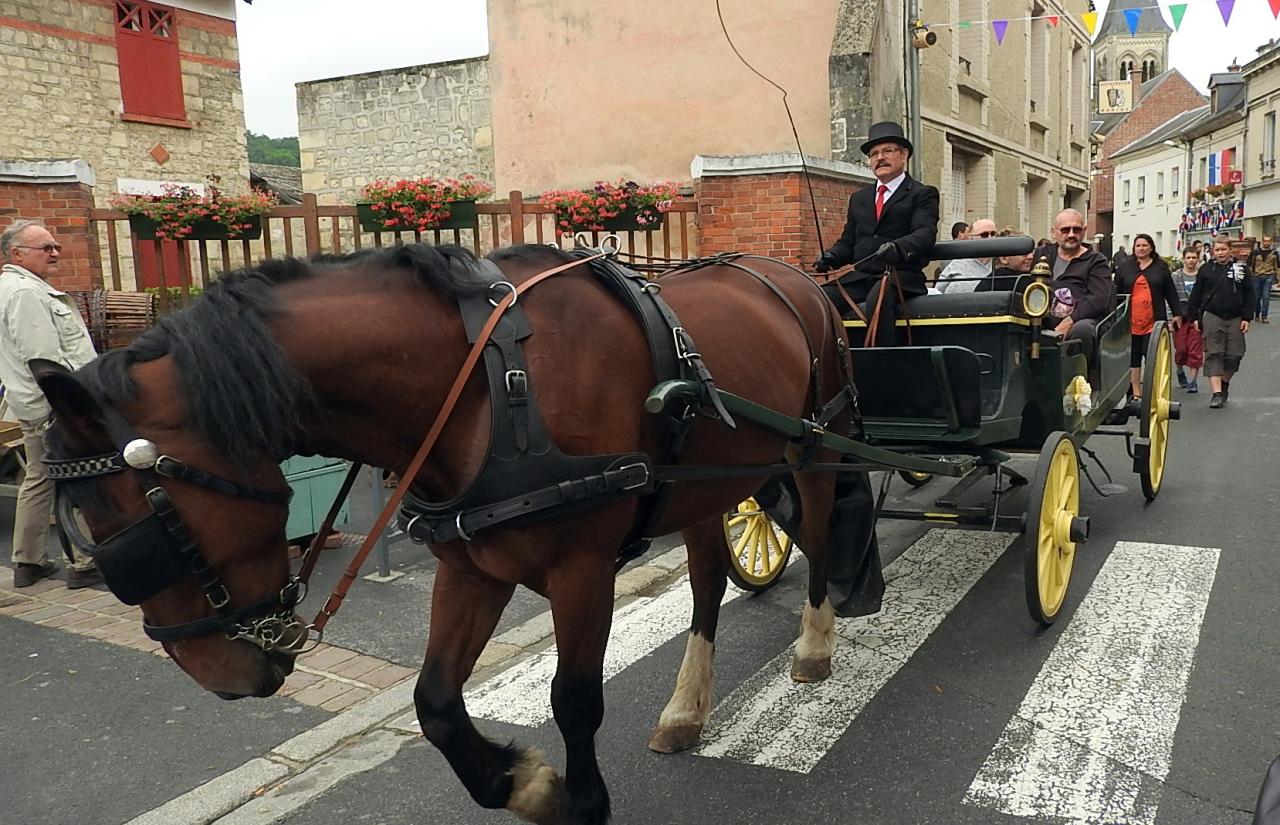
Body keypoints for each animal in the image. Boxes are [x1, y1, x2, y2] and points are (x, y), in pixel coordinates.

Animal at [40, 241, 860, 818]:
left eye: (138, 522)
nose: (222, 679)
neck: (486, 387)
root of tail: (789, 273)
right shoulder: (472, 565)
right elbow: (434, 700)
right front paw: (523, 784)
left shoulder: (583, 568)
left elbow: (574, 698)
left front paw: (580, 800)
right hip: (706, 486)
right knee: (709, 580)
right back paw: (688, 707)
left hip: (815, 447)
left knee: (821, 534)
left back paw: (815, 646)